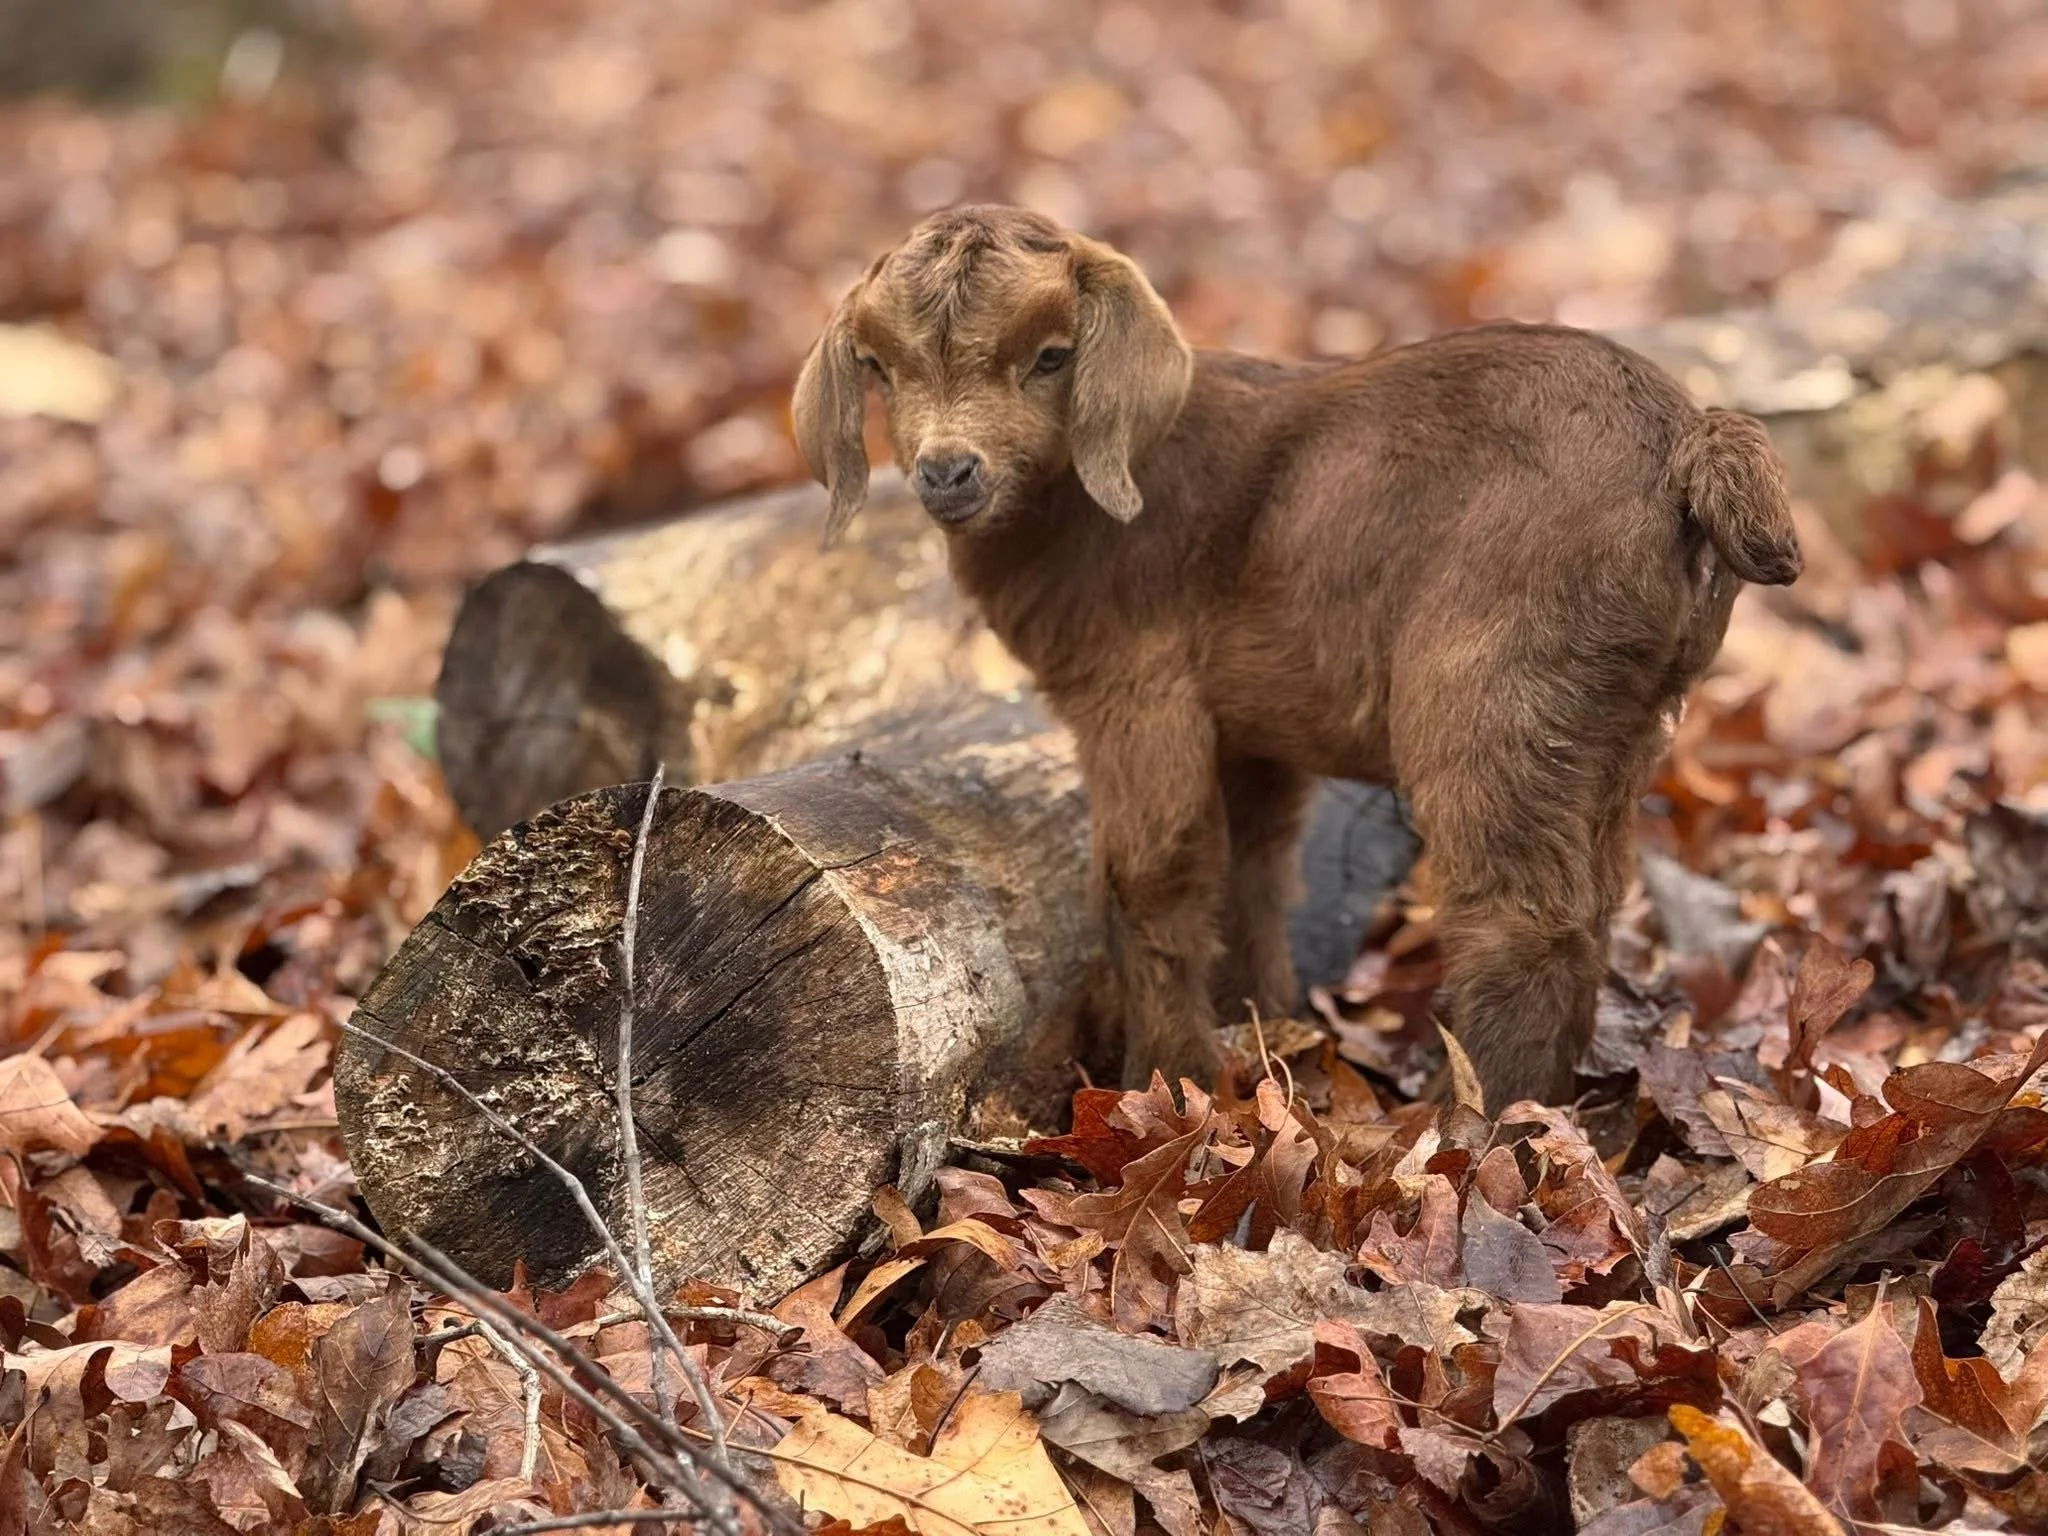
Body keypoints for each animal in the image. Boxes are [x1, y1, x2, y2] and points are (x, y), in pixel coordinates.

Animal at [792, 205, 1800, 1108]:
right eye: (880, 366)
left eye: (1050, 356)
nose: (947, 471)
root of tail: (1687, 445)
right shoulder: (1248, 726)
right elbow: (1254, 867)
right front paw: (1259, 1023)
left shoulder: (1139, 692)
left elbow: (1148, 880)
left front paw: (1169, 1082)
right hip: (1614, 721)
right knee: (1592, 903)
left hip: (1498, 684)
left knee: (1520, 912)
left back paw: (1472, 1125)